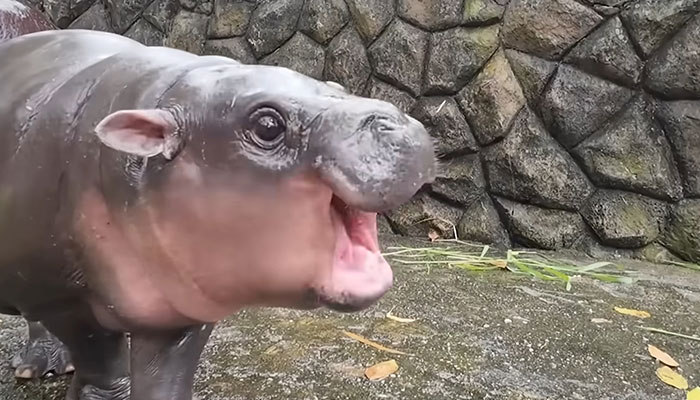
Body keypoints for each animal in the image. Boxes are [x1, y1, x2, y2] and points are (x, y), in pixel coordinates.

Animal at [0, 3, 434, 400]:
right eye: (267, 125)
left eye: (339, 87)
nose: (393, 120)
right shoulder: (62, 299)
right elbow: (99, 354)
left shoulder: (184, 302)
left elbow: (166, 374)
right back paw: (38, 368)